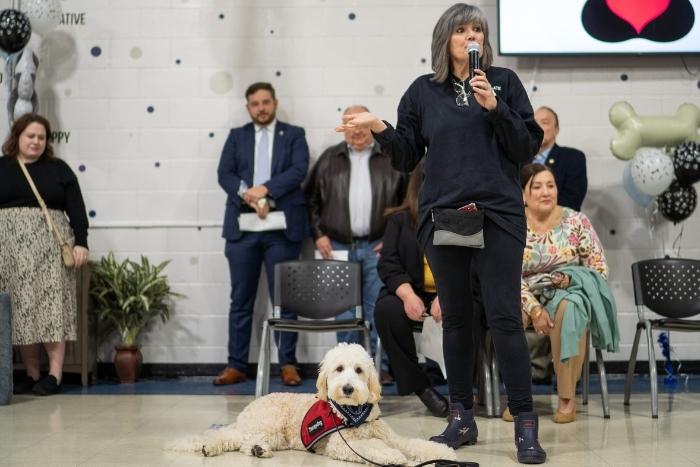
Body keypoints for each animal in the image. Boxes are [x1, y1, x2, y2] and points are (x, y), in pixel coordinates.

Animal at [167, 342, 456, 466]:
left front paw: (443, 453)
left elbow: (413, 444)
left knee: (237, 440)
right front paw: (393, 457)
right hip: (269, 424)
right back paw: (246, 449)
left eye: (359, 370)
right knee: (240, 441)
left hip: (276, 435)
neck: (352, 414)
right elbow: (374, 448)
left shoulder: (391, 436)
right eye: (339, 369)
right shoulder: (342, 445)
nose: (348, 388)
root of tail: (245, 413)